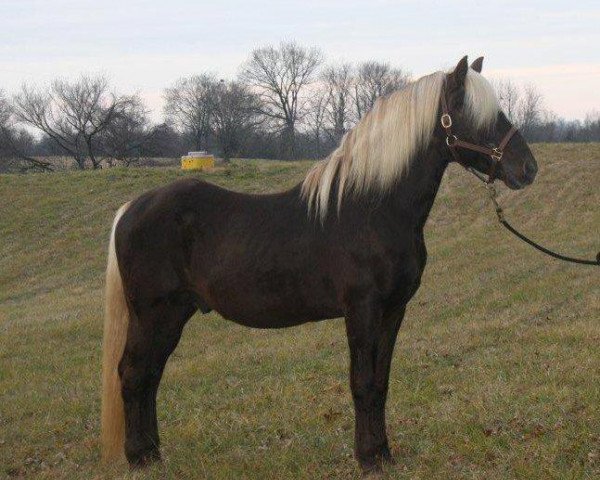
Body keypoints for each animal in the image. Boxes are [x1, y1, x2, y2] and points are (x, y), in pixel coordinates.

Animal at [101, 55, 536, 472]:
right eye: (476, 114)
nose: (528, 168)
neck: (373, 209)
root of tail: (130, 209)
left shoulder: (394, 310)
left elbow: (381, 383)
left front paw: (384, 453)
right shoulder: (362, 309)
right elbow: (362, 382)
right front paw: (368, 458)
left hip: (174, 314)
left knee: (150, 376)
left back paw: (153, 453)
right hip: (154, 313)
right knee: (134, 374)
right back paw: (139, 457)